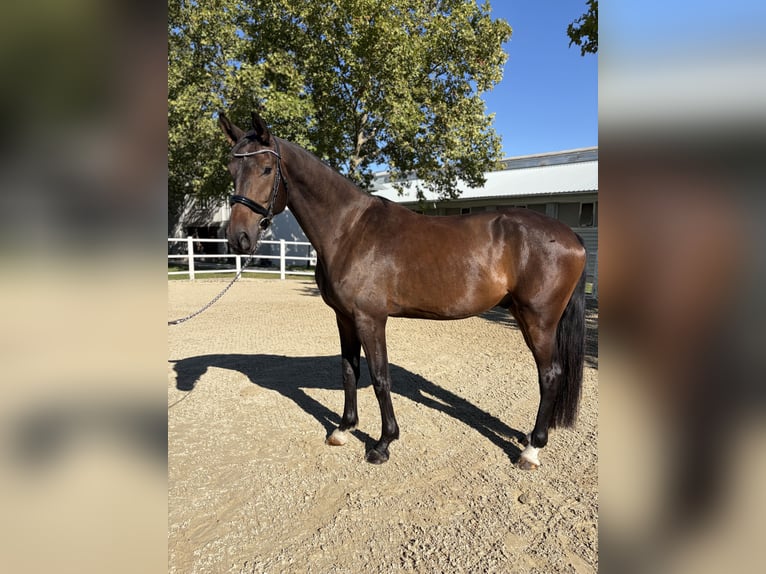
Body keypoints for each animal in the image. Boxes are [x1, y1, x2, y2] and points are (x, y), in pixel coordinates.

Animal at [219, 111, 587, 469]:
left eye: (267, 169)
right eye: (231, 169)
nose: (238, 238)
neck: (349, 229)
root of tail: (572, 235)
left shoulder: (370, 319)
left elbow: (380, 378)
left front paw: (383, 444)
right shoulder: (344, 318)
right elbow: (349, 371)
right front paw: (343, 429)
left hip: (538, 320)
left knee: (550, 375)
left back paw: (531, 450)